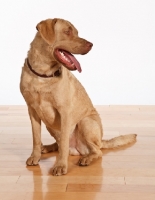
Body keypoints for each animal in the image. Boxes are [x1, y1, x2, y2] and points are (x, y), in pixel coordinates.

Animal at [19, 18, 137, 175]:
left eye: (76, 32)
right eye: (67, 31)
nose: (91, 44)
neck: (43, 75)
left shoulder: (64, 112)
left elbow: (63, 143)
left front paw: (61, 166)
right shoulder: (32, 111)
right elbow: (36, 138)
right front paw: (35, 156)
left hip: (85, 122)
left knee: (96, 151)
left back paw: (86, 158)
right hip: (51, 125)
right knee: (59, 144)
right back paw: (48, 147)